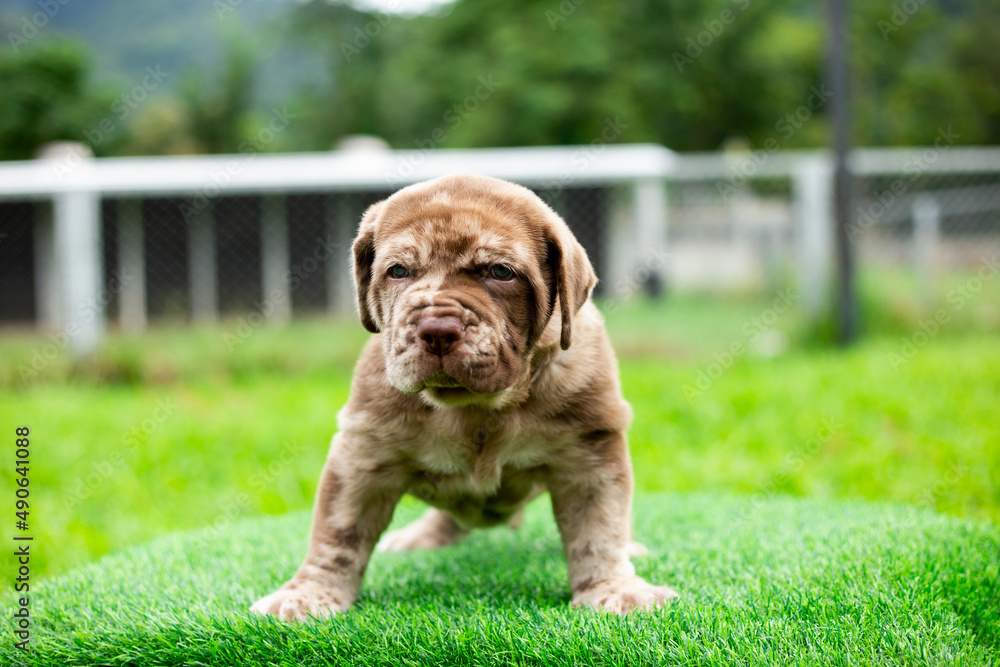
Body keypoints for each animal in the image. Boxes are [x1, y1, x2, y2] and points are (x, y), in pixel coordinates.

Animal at [250, 174, 680, 620]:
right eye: (398, 271)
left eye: (500, 272)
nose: (437, 329)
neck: (475, 407)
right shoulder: (362, 455)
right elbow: (337, 532)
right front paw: (309, 592)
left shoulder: (590, 451)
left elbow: (600, 527)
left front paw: (613, 587)